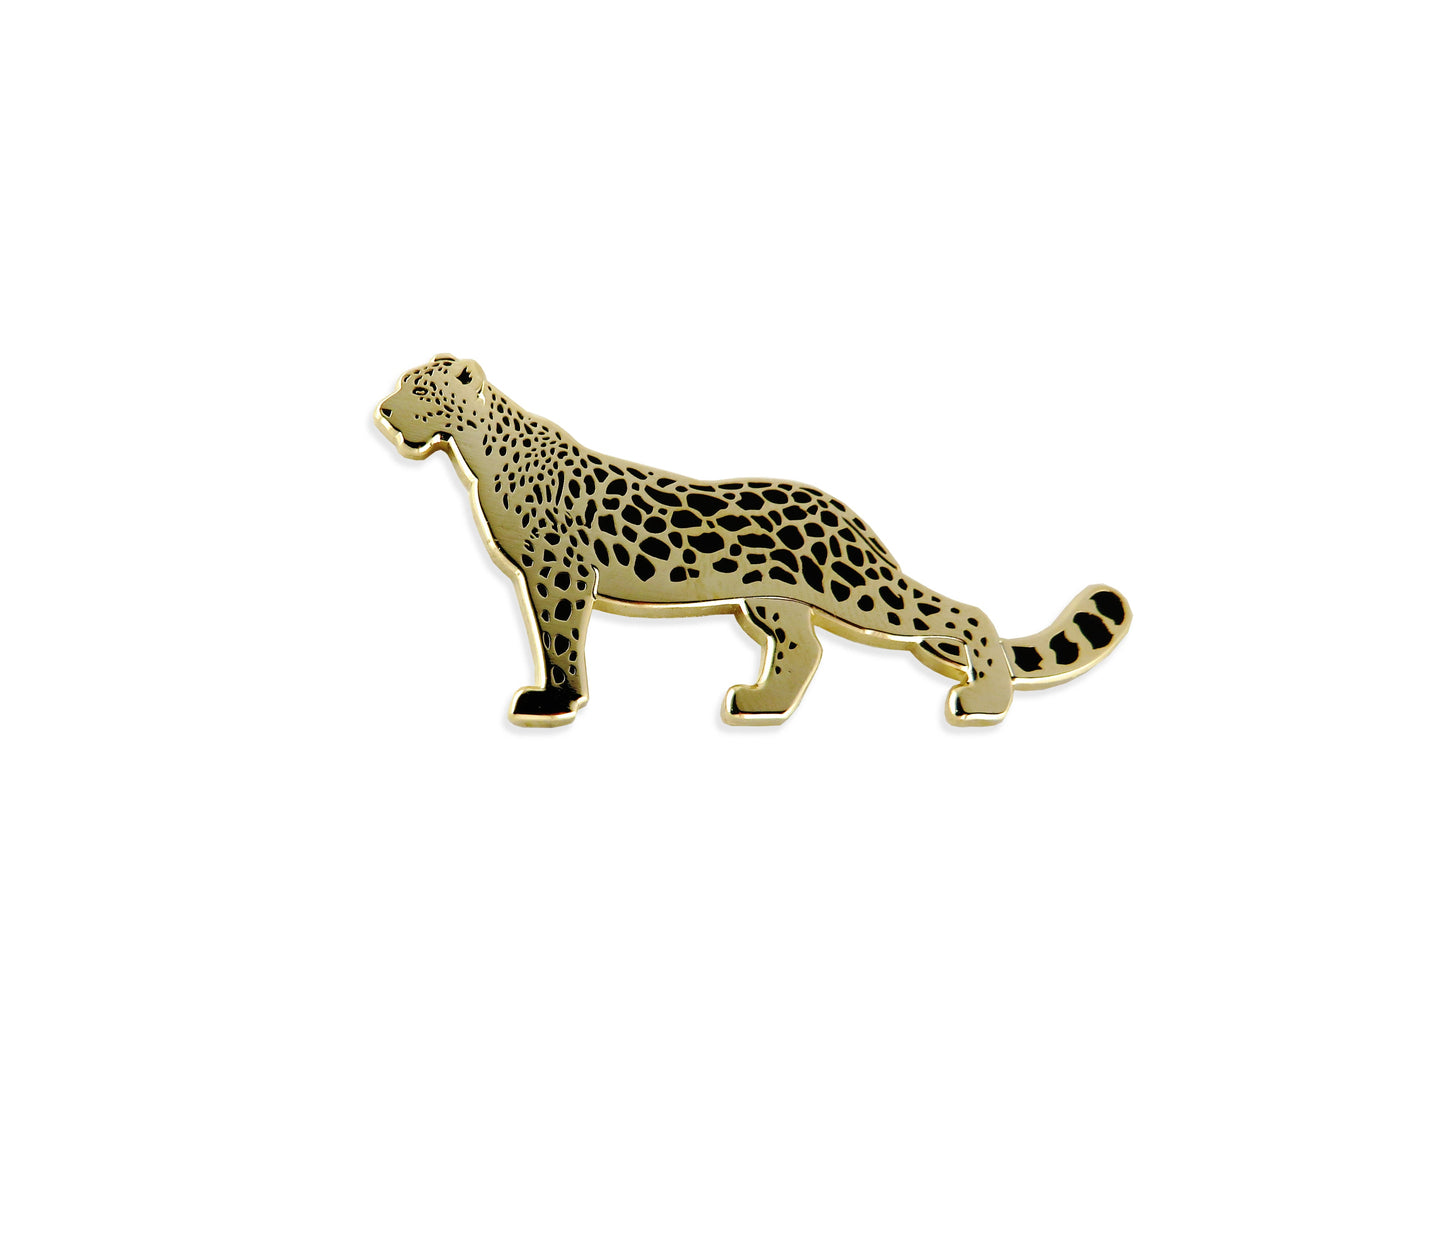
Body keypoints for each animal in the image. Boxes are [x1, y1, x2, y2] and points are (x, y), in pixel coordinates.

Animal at [374, 355, 1131, 728]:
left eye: (420, 389)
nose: (383, 410)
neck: (478, 452)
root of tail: (843, 512)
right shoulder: (540, 574)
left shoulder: (559, 572)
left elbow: (561, 641)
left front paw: (555, 700)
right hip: (770, 598)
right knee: (804, 648)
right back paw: (762, 704)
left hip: (855, 587)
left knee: (962, 612)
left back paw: (984, 701)